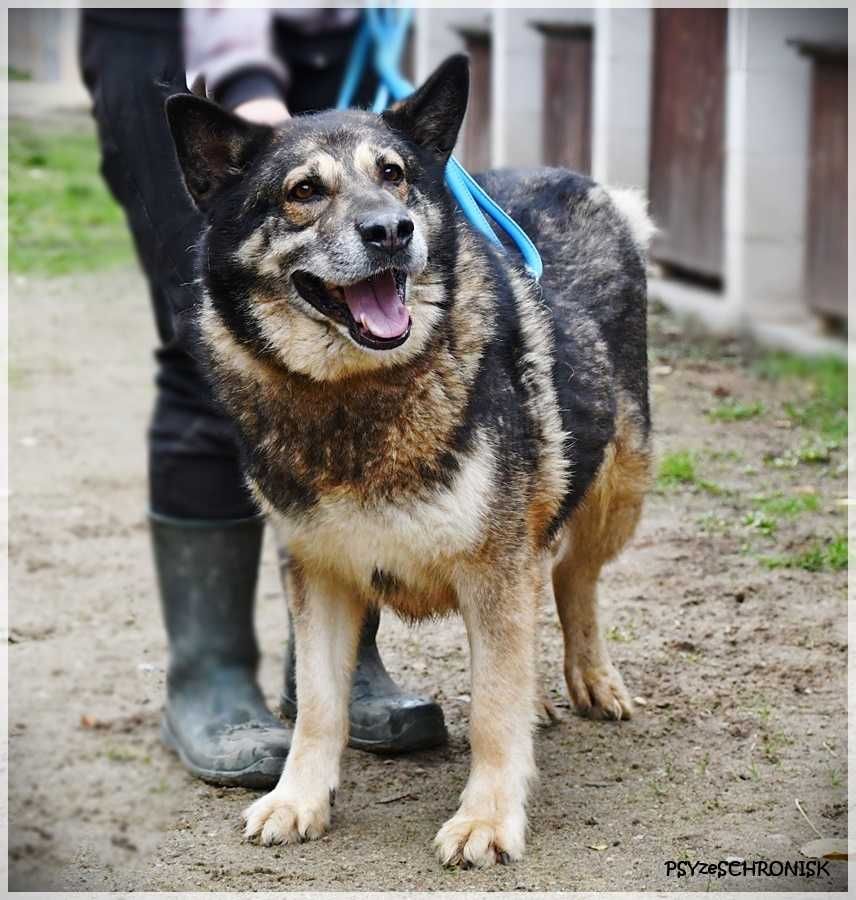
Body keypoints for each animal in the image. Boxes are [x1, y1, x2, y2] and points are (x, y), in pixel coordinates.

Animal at [166, 54, 648, 864]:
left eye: (392, 175)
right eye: (303, 192)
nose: (393, 231)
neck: (355, 394)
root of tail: (580, 180)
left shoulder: (494, 566)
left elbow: (491, 707)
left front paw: (487, 819)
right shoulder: (320, 572)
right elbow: (318, 706)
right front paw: (298, 799)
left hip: (619, 486)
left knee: (573, 577)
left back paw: (589, 677)